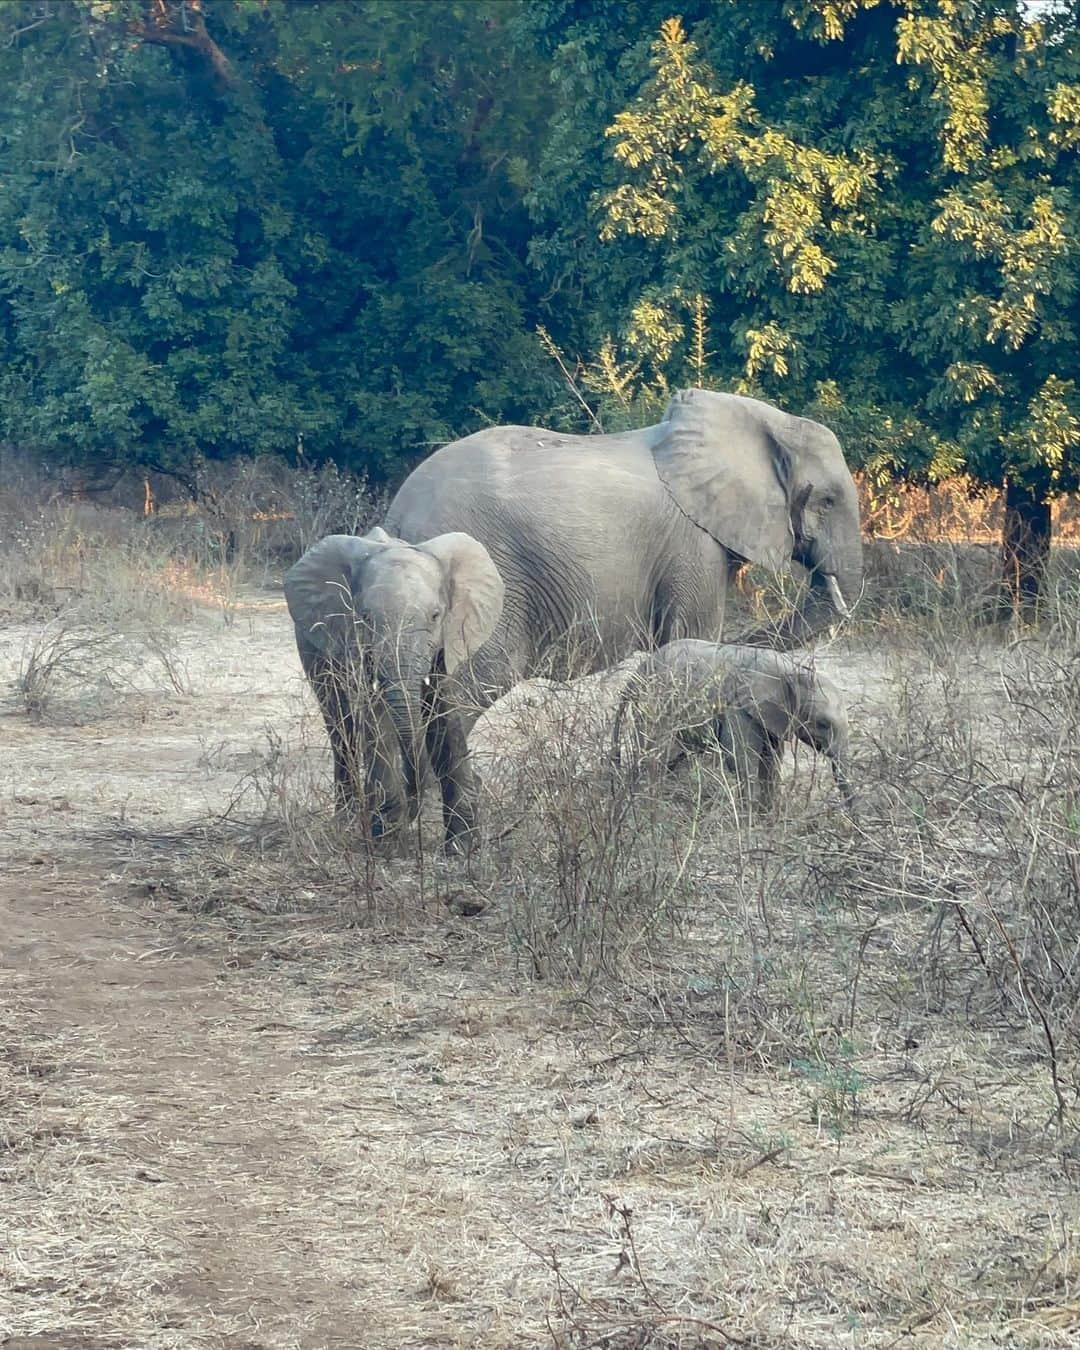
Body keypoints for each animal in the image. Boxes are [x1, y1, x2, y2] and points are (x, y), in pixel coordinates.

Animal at [286, 523, 507, 847]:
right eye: (365, 617)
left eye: (436, 615)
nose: (414, 802)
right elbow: (375, 716)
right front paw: (388, 842)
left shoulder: (446, 641)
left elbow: (445, 714)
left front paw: (463, 846)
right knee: (340, 722)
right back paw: (347, 823)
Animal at [607, 642, 853, 810]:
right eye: (822, 723)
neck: (791, 670)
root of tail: (637, 672)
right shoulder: (737, 706)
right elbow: (741, 760)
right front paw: (750, 822)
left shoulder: (771, 716)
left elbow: (771, 762)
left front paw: (767, 818)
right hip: (654, 707)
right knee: (654, 756)